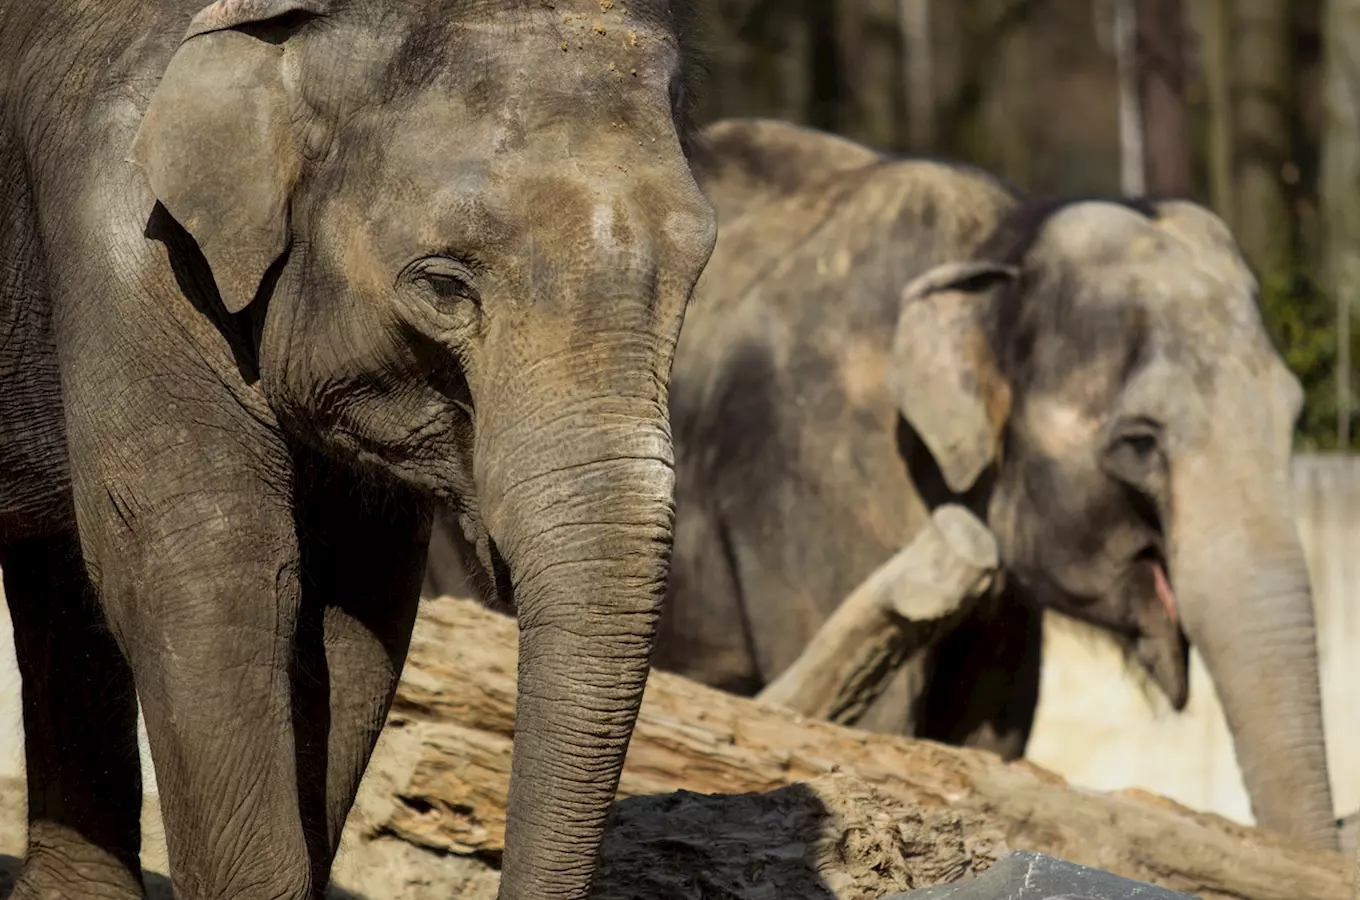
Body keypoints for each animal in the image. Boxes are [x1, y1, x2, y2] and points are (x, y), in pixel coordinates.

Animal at [650, 118, 1338, 853]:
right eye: (1139, 442)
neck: (998, 243)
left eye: (1294, 415)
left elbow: (985, 736)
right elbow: (869, 723)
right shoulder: (817, 470)